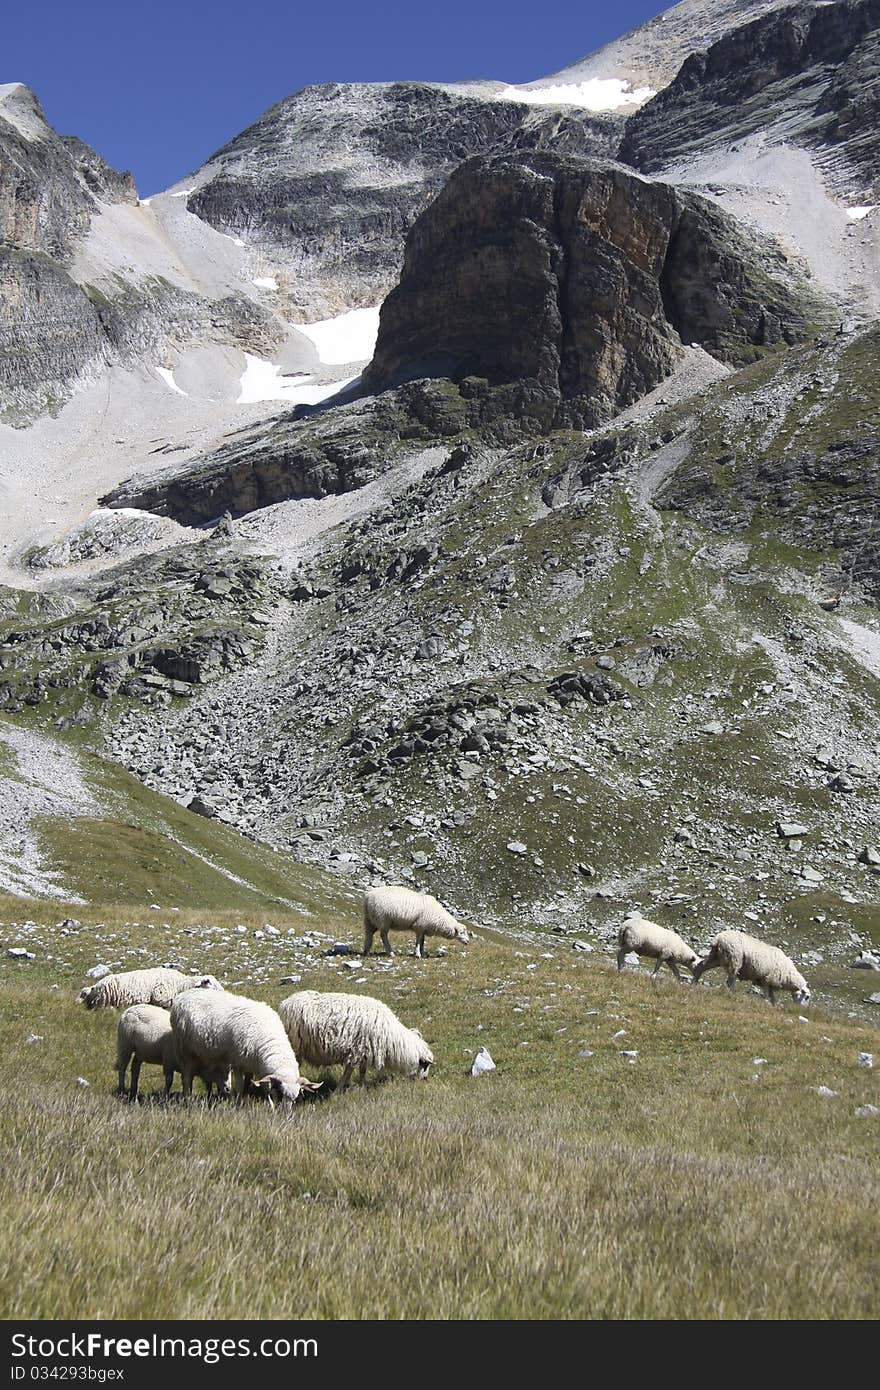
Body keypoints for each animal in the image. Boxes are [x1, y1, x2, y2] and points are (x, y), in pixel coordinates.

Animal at [168, 995, 312, 1100]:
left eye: (296, 1098)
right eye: (281, 1094)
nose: (286, 1113)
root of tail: (182, 996)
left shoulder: (252, 1062)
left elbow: (255, 1083)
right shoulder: (238, 1062)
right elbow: (239, 1086)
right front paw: (238, 1102)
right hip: (186, 1051)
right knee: (187, 1078)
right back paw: (187, 1099)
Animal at [278, 989, 433, 1084]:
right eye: (425, 1065)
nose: (425, 1080)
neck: (391, 1038)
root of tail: (284, 1004)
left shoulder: (364, 1051)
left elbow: (362, 1071)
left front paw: (362, 1086)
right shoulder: (356, 1051)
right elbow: (348, 1073)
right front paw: (339, 1090)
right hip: (295, 1046)